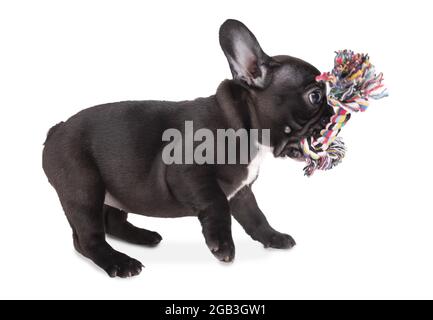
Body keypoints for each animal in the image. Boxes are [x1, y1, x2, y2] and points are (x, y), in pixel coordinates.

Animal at [43, 19, 330, 278]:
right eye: (315, 96)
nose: (332, 112)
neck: (242, 124)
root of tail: (57, 129)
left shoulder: (241, 191)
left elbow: (255, 216)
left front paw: (273, 237)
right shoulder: (187, 172)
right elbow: (217, 203)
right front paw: (222, 245)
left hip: (115, 188)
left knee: (112, 221)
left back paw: (142, 236)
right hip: (83, 187)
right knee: (87, 238)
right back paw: (119, 262)